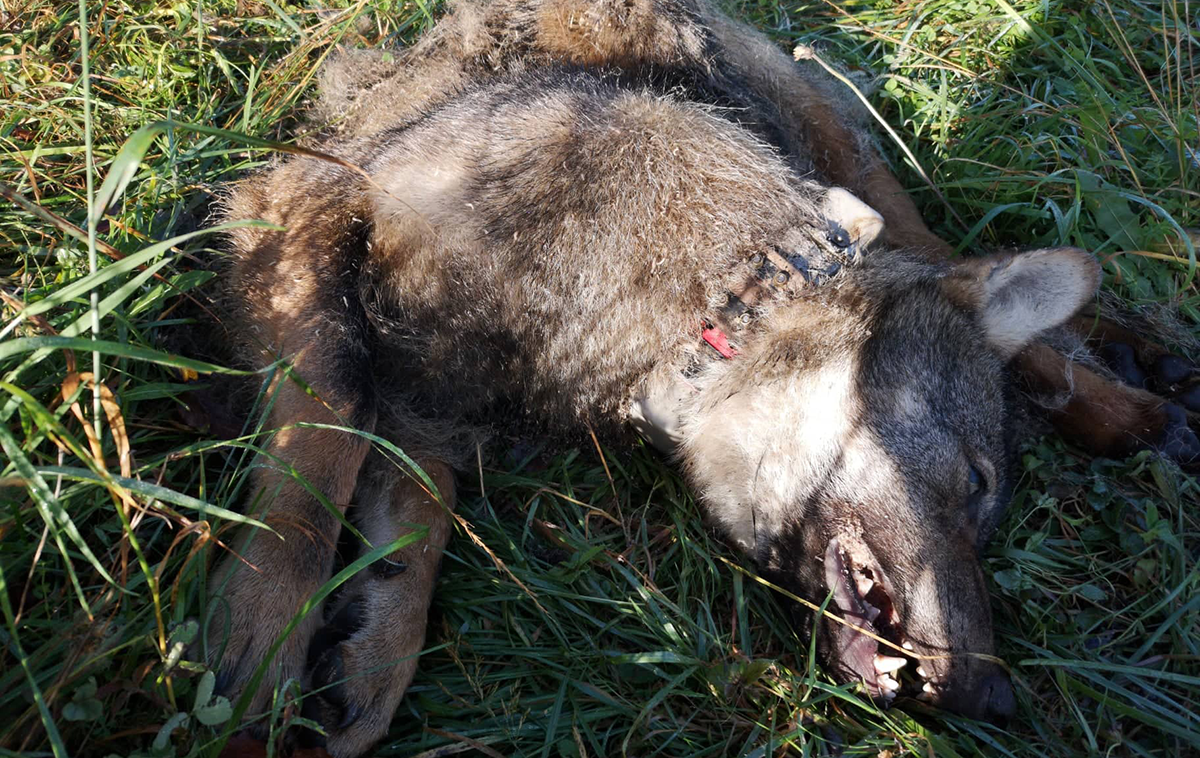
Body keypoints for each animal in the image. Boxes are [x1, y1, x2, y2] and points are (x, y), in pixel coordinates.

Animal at [208, 0, 1200, 753]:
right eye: (976, 483)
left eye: (989, 515)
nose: (996, 704)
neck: (706, 297)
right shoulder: (309, 224)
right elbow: (331, 454)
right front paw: (286, 632)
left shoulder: (426, 388)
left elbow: (403, 497)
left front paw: (354, 644)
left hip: (838, 151)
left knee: (951, 256)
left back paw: (1135, 396)